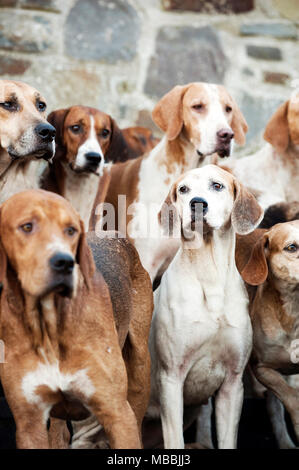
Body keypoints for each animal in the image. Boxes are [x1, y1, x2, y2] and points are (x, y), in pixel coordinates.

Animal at [0, 190, 143, 448]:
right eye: (27, 226)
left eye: (70, 230)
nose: (63, 262)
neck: (49, 326)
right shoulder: (29, 425)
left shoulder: (118, 414)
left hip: (140, 372)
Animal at [149, 165, 264, 448]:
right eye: (183, 189)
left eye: (217, 185)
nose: (197, 203)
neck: (209, 274)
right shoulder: (171, 379)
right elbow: (176, 440)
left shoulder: (233, 384)